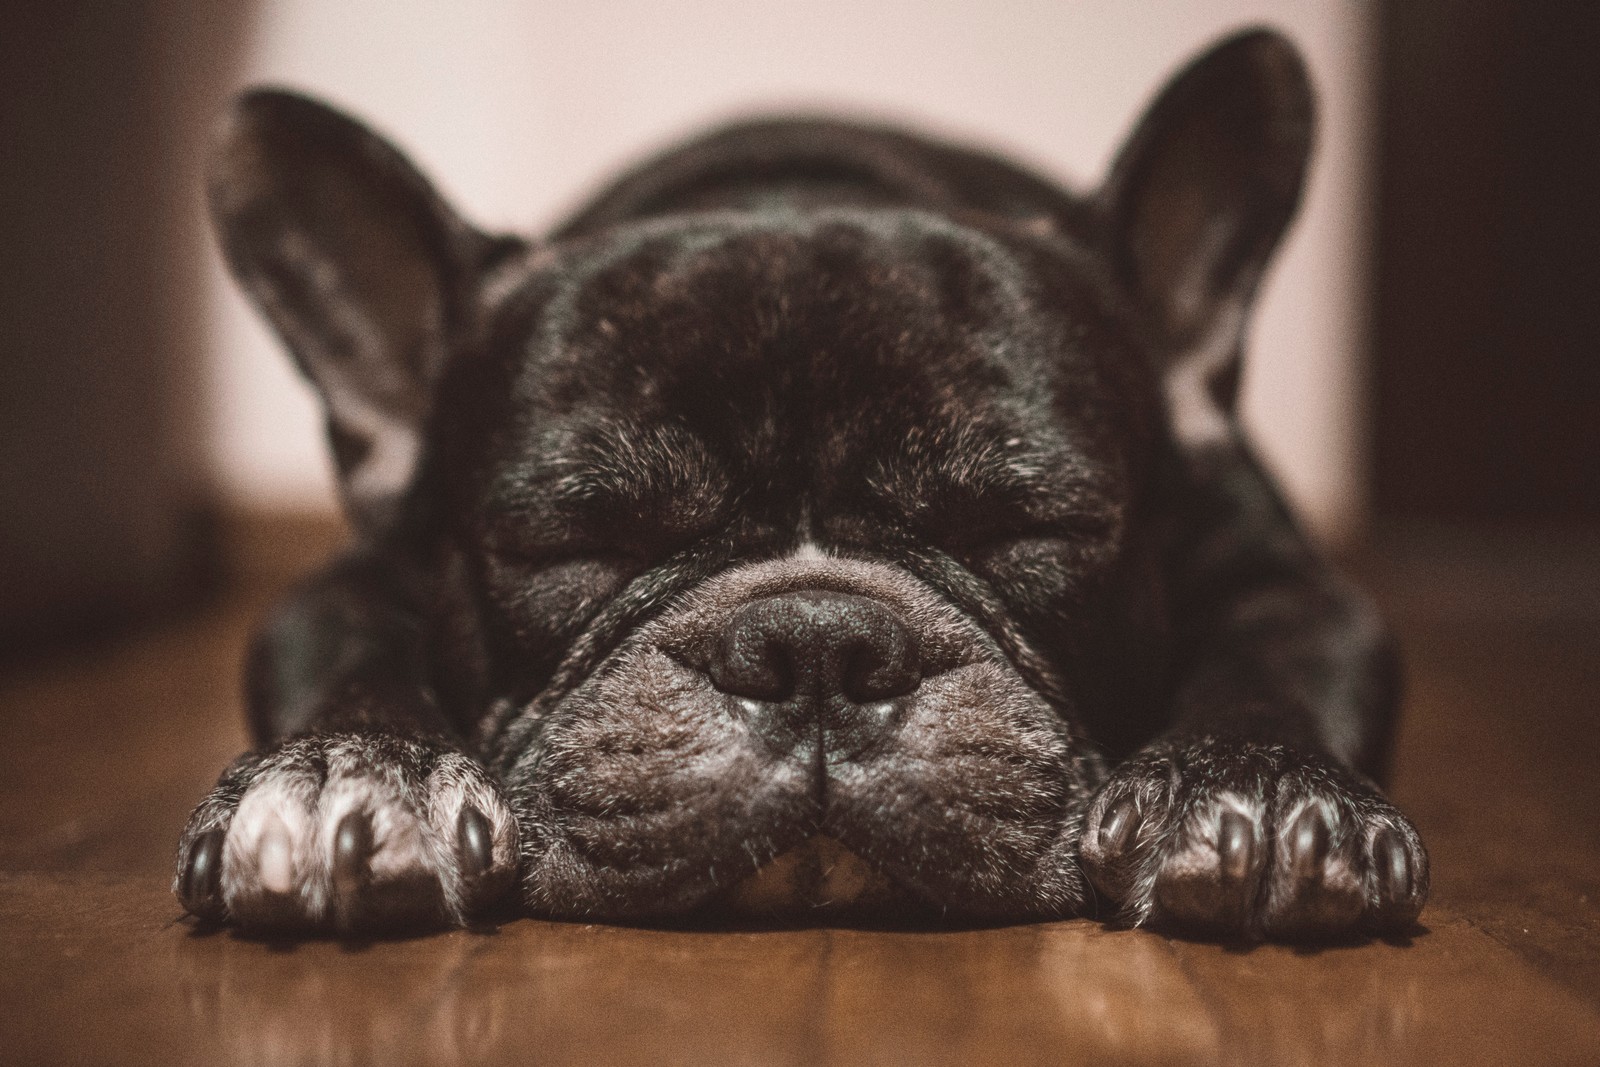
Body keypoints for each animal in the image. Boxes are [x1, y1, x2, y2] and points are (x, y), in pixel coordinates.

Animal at [172, 27, 1427, 940]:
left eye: (1029, 527)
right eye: (571, 545)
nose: (817, 642)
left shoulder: (1290, 584)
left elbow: (1268, 671)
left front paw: (1259, 792)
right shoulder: (335, 592)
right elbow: (351, 667)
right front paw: (348, 775)